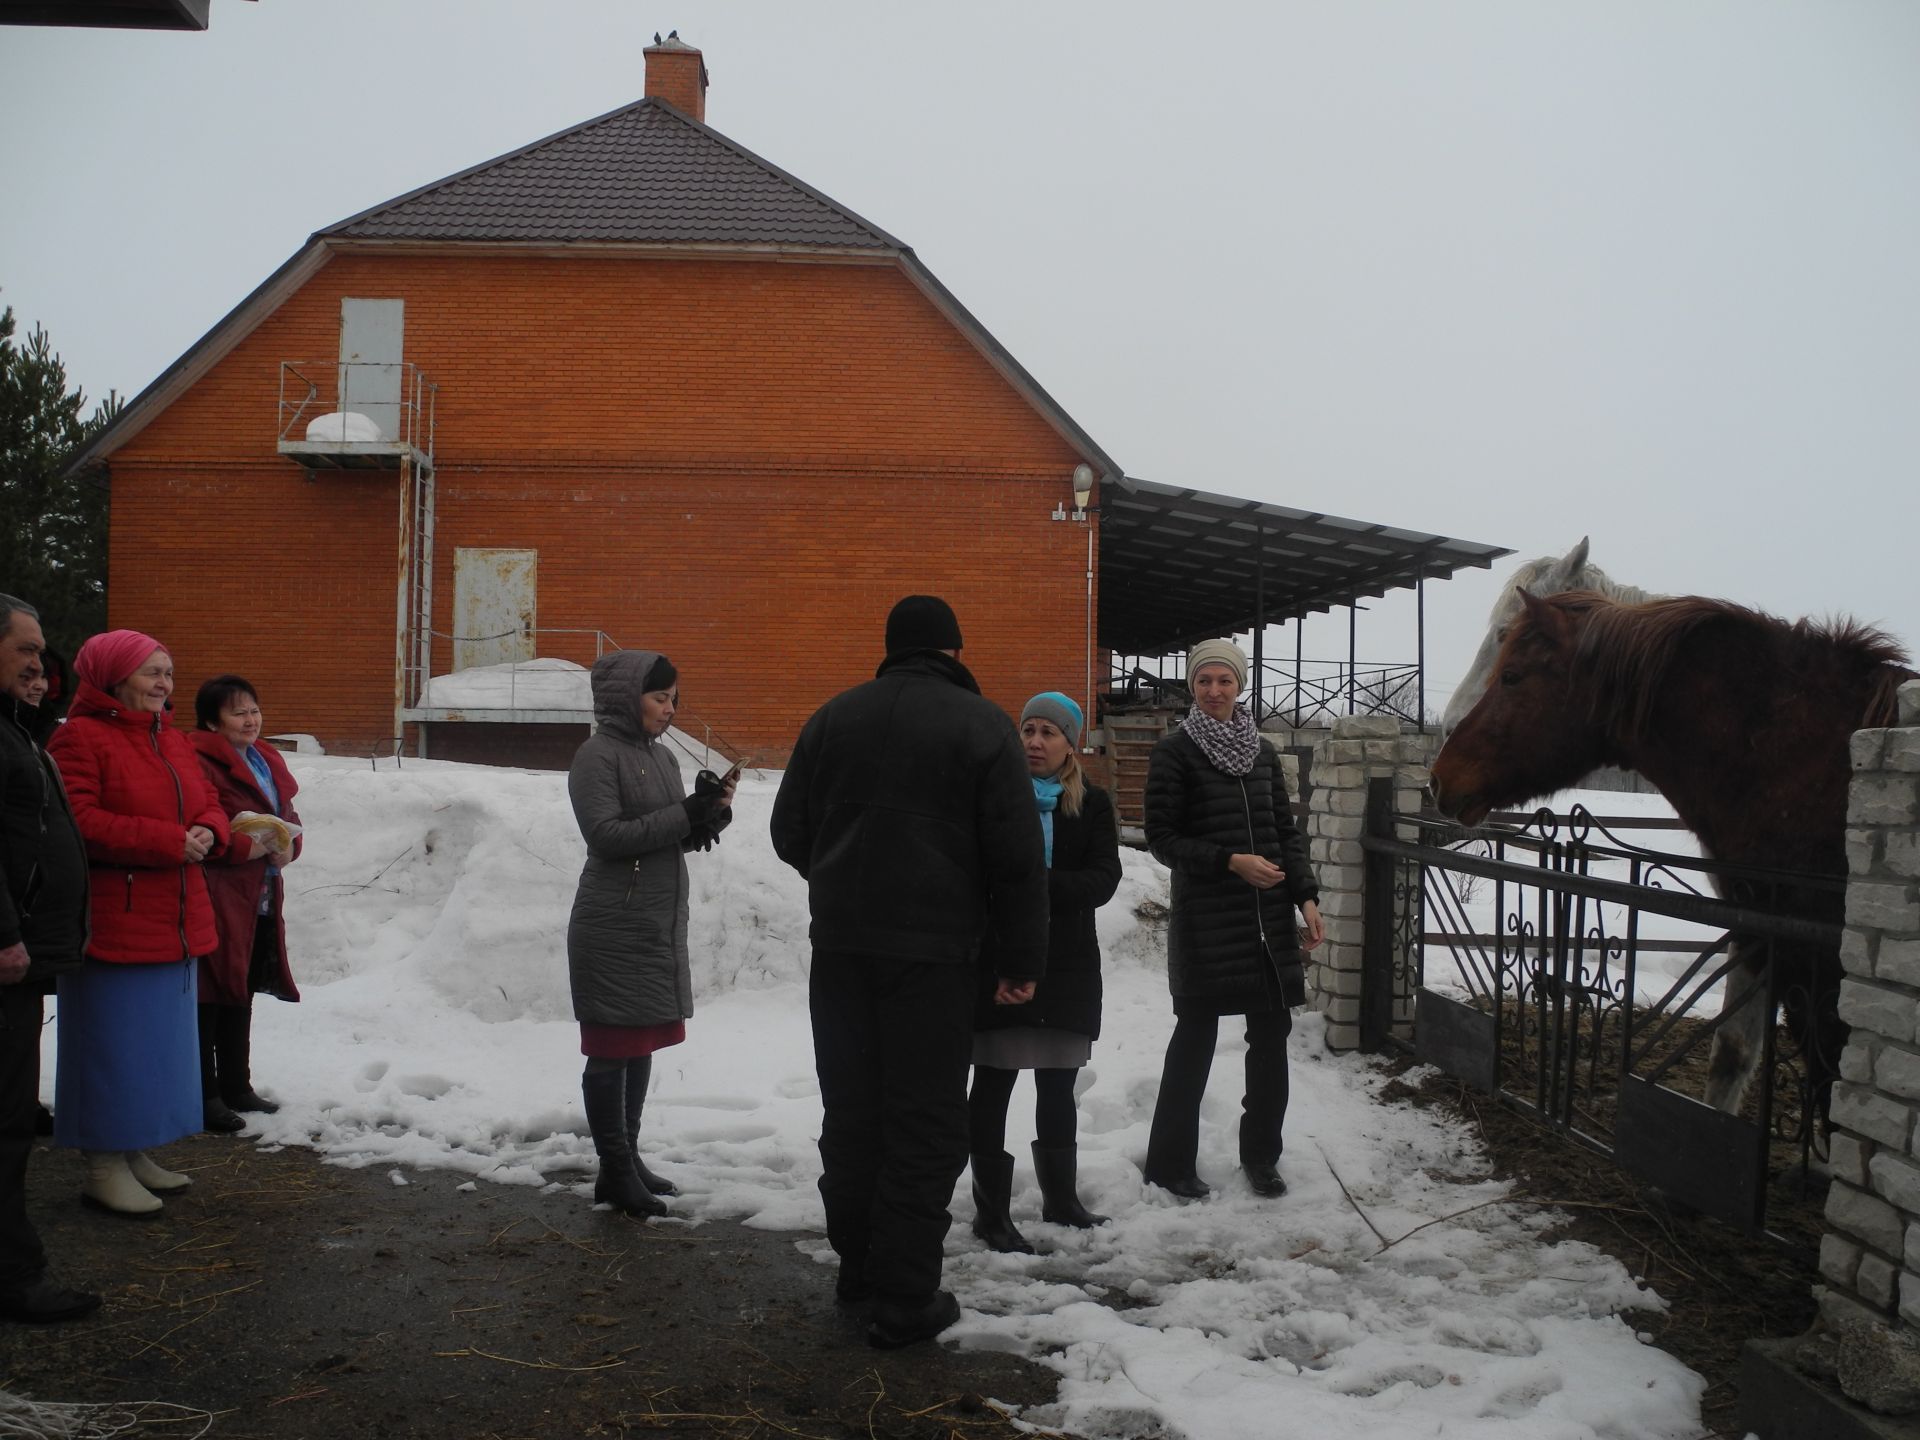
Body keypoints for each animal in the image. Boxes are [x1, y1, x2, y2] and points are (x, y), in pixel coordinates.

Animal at [1436, 591, 1912, 1121]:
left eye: (1512, 675)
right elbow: (1730, 1055)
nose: (1439, 777)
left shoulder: (1819, 975)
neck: (1804, 767)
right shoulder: (1758, 933)